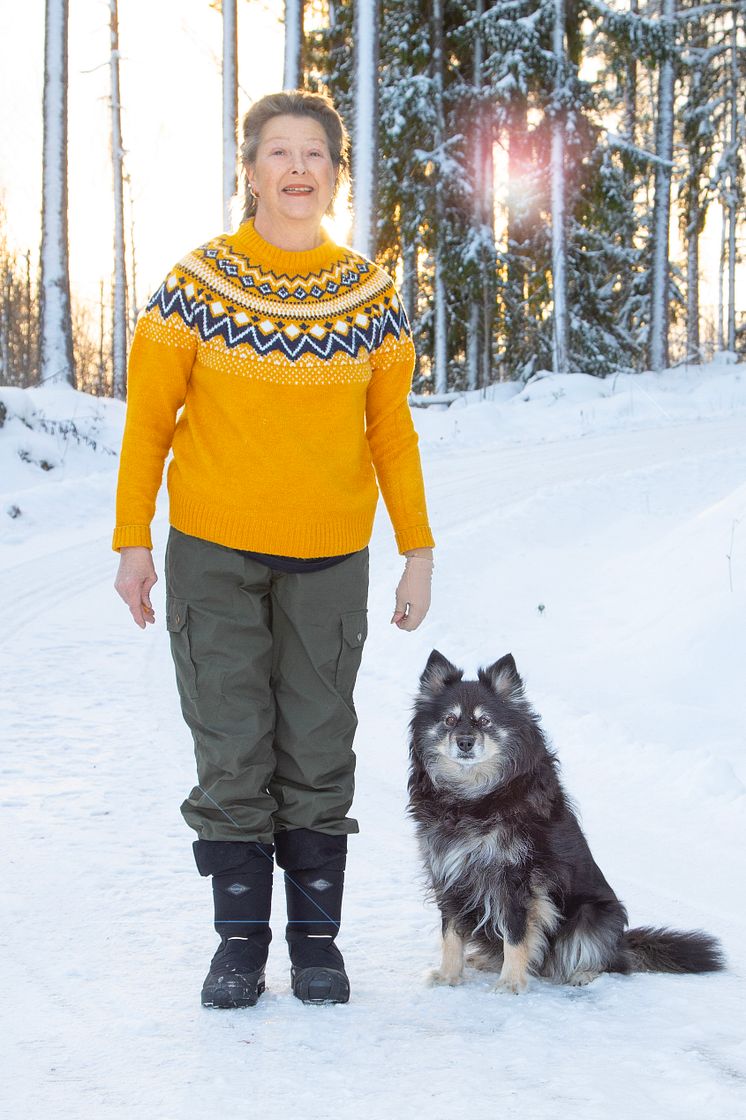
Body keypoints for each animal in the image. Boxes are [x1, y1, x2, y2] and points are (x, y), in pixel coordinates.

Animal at [403, 654, 721, 994]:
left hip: (591, 915)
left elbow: (515, 934)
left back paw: (583, 974)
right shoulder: (447, 871)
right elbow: (451, 932)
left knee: (612, 963)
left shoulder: (517, 879)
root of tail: (622, 942)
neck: (472, 799)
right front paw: (449, 975)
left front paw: (511, 983)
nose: (465, 742)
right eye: (449, 720)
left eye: (485, 721)